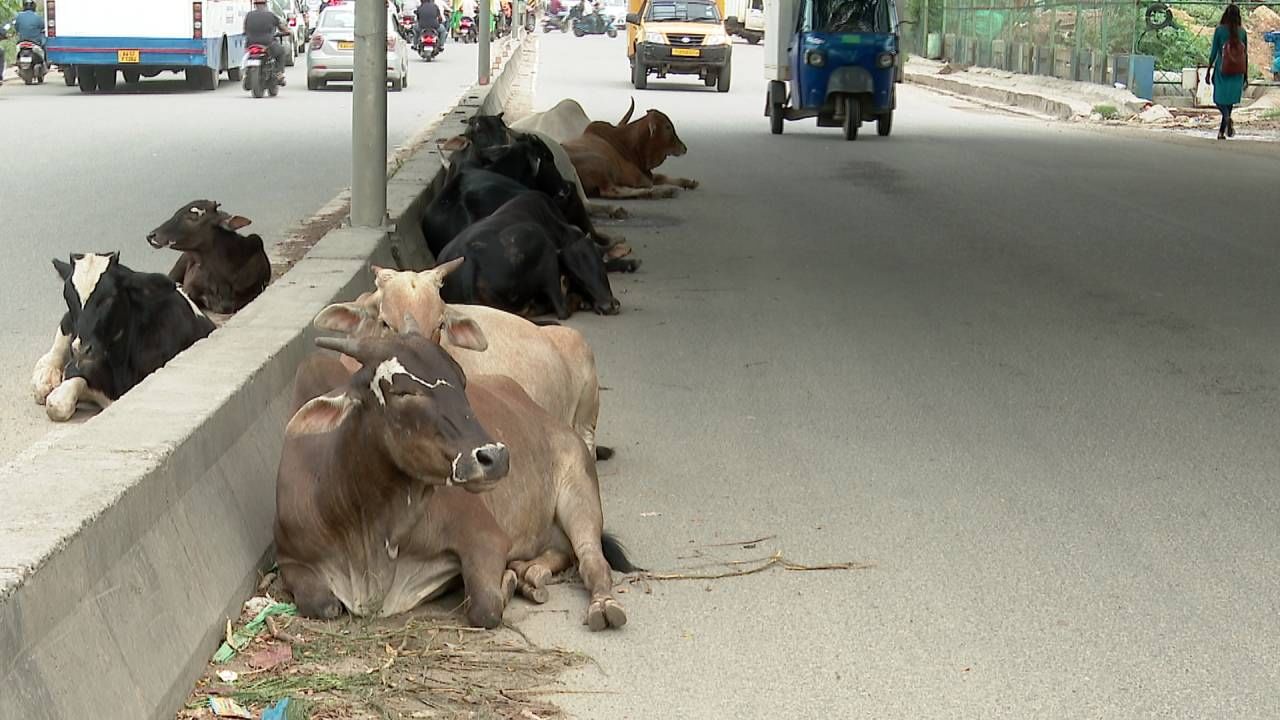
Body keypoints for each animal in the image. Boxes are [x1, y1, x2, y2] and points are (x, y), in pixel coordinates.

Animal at [31, 252, 216, 420]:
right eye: (67, 297)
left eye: (108, 298)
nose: (81, 349)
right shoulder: (77, 367)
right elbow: (57, 405)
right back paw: (44, 378)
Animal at [282, 326, 637, 627]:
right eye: (402, 392)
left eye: (462, 380)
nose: (496, 457)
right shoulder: (292, 559)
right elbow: (322, 605)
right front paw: (514, 577)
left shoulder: (485, 538)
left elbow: (485, 608)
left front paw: (507, 582)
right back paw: (530, 574)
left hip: (580, 490)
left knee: (592, 561)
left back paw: (600, 604)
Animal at [437, 190, 622, 316]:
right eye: (576, 276)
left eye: (601, 265)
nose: (608, 306)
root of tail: (470, 259)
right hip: (546, 255)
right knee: (562, 310)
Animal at [563, 99, 701, 199]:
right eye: (667, 127)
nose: (684, 147)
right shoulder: (639, 178)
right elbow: (654, 180)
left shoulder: (647, 173)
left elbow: (662, 176)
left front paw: (690, 182)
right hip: (600, 163)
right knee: (610, 191)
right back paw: (662, 191)